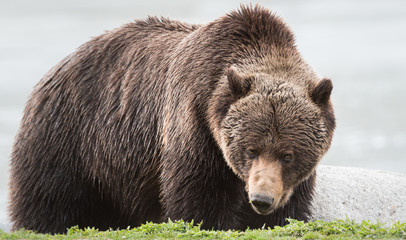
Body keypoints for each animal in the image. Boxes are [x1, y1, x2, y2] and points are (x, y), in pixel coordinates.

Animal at [8, 5, 334, 234]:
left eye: (288, 154)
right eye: (250, 149)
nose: (261, 199)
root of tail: (56, 68)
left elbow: (290, 207)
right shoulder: (194, 124)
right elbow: (196, 197)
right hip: (69, 139)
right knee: (49, 199)